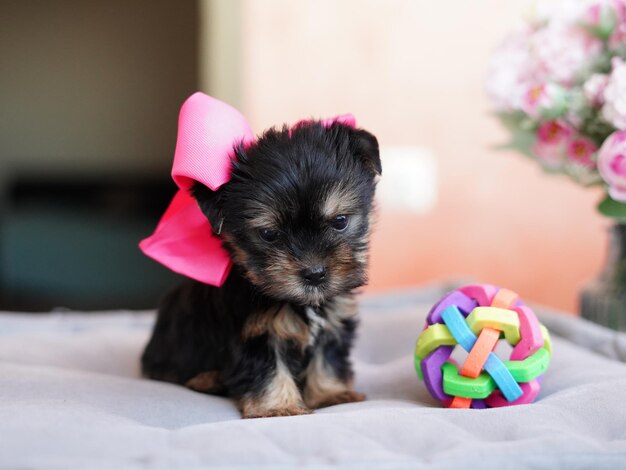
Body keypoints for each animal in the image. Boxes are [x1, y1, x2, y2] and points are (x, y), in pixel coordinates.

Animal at [141, 120, 380, 418]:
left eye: (340, 221)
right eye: (268, 234)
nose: (314, 274)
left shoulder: (333, 322)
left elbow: (328, 358)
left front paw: (331, 394)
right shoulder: (255, 332)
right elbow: (267, 369)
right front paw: (278, 407)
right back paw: (207, 379)